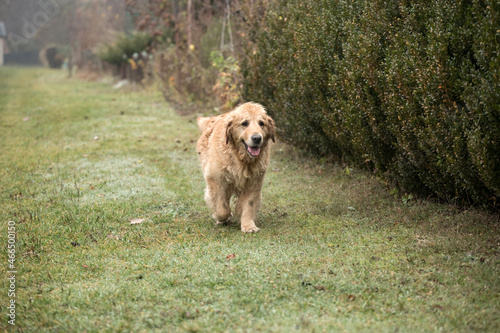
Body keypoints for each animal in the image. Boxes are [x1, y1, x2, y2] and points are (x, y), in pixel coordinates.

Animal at [196, 102, 276, 232]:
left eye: (261, 123)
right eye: (244, 123)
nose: (257, 138)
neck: (240, 159)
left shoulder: (254, 182)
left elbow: (249, 204)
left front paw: (248, 226)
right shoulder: (215, 179)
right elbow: (221, 208)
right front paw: (224, 217)